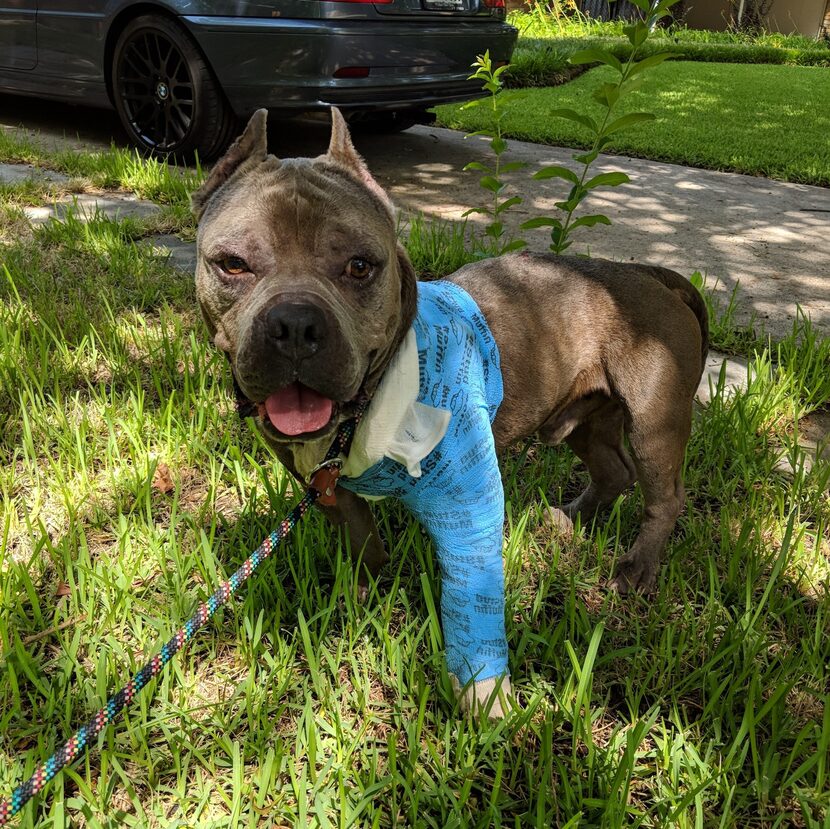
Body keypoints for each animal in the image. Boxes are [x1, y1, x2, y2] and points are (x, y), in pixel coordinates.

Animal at [193, 108, 708, 712]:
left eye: (361, 266)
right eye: (232, 265)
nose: (296, 324)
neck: (363, 412)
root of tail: (652, 273)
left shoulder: (469, 510)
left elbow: (471, 599)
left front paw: (486, 695)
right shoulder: (331, 493)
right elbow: (364, 542)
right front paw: (369, 589)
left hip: (654, 422)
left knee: (664, 496)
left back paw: (638, 567)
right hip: (583, 418)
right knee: (613, 469)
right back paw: (571, 517)